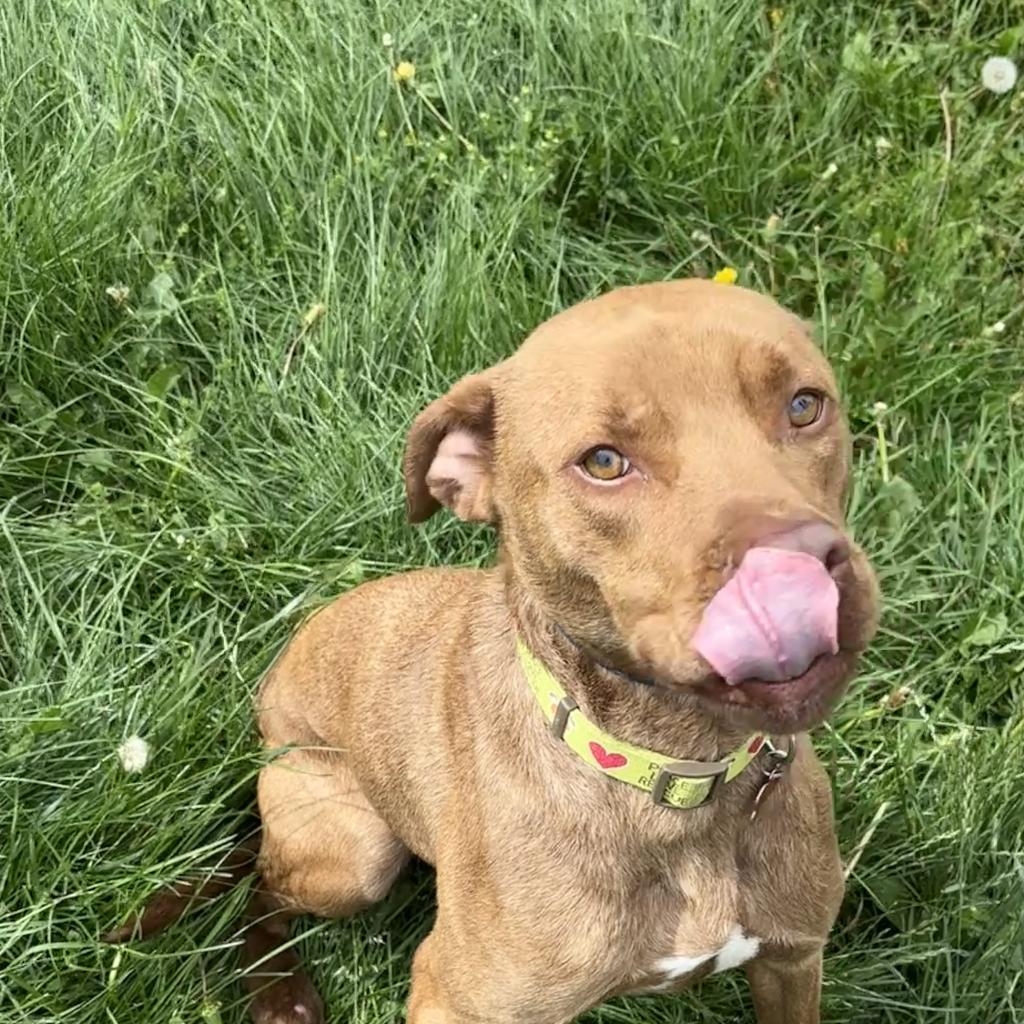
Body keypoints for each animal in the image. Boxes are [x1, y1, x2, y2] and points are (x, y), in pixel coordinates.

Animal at [112, 280, 880, 1024]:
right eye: (604, 462)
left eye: (804, 405)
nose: (797, 566)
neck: (673, 774)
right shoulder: (456, 1002)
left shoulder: (792, 962)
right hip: (351, 853)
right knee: (263, 891)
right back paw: (277, 991)